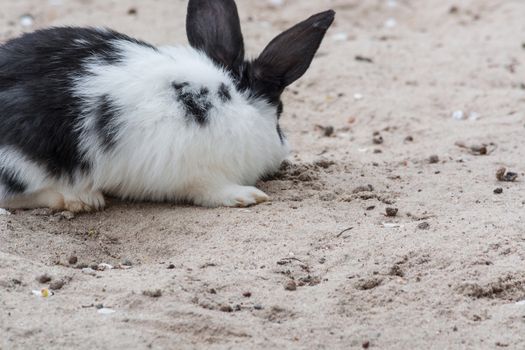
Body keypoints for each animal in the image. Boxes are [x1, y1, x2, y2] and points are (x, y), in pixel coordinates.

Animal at [0, 0, 336, 212]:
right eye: (280, 116)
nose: (284, 149)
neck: (236, 102)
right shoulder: (199, 174)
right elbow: (212, 190)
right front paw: (247, 196)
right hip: (23, 165)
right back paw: (80, 199)